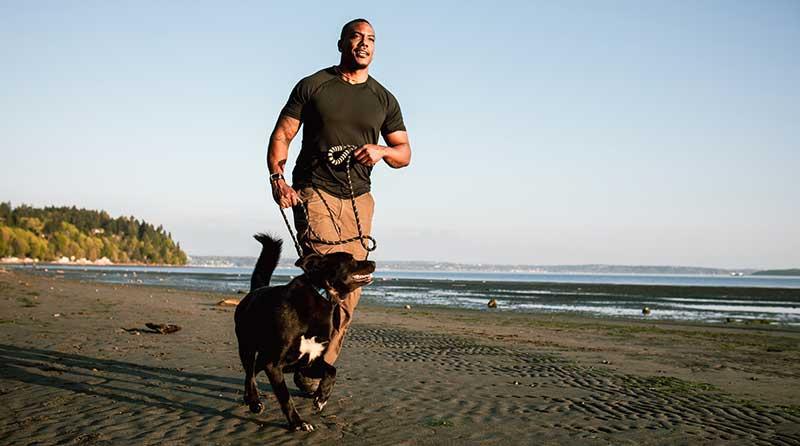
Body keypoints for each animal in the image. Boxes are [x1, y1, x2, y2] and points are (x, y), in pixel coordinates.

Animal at [234, 233, 376, 432]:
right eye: (350, 260)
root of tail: (256, 290)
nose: (374, 262)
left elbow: (332, 370)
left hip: (262, 357)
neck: (322, 294)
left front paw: (321, 398)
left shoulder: (310, 361)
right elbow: (285, 397)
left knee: (252, 372)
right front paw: (298, 423)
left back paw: (250, 399)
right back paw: (254, 402)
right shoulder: (273, 365)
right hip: (247, 348)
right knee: (249, 374)